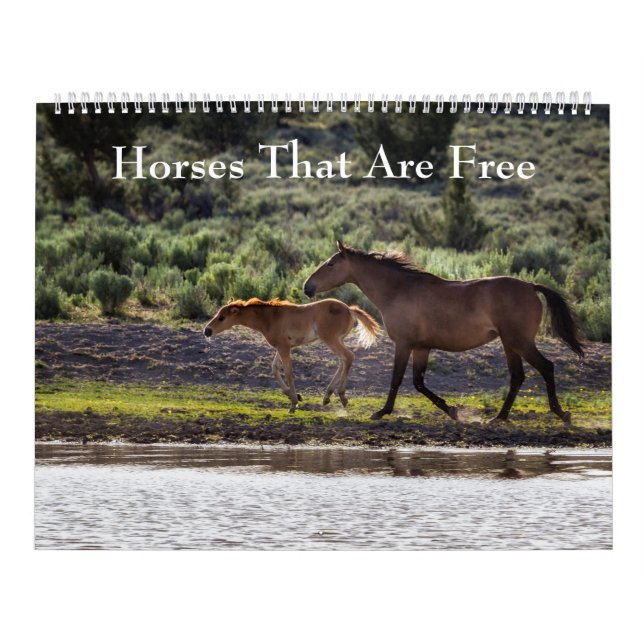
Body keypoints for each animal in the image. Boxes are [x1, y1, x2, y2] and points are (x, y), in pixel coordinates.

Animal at [203, 297, 380, 412]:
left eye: (222, 317)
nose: (207, 331)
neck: (269, 318)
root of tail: (350, 310)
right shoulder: (282, 347)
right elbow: (274, 368)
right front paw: (294, 395)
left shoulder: (284, 347)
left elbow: (288, 372)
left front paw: (294, 403)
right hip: (337, 339)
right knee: (343, 361)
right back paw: (328, 396)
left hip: (330, 339)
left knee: (348, 357)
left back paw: (341, 396)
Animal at [303, 241, 584, 424]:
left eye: (330, 264)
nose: (307, 287)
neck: (398, 290)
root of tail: (531, 286)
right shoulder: (421, 347)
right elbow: (418, 383)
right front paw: (451, 410)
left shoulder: (404, 344)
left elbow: (396, 380)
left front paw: (382, 412)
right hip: (509, 343)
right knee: (518, 376)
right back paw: (500, 417)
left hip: (519, 341)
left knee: (546, 367)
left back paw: (560, 413)